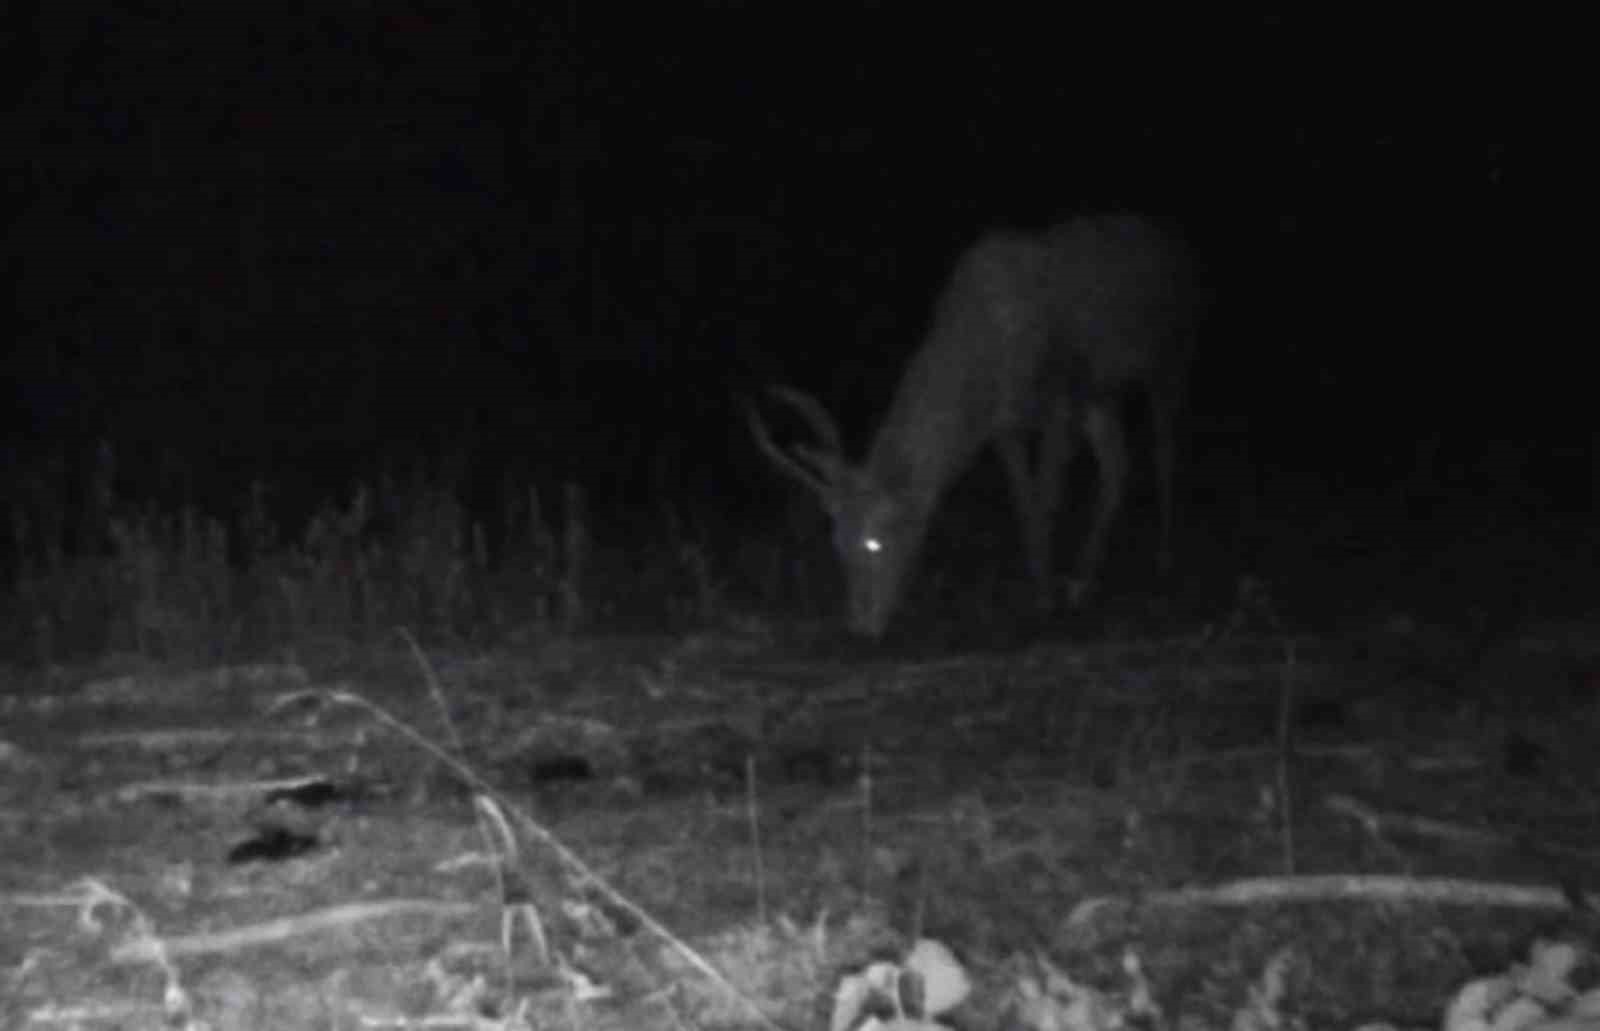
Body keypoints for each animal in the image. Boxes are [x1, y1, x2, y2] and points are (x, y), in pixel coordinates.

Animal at [748, 214, 1203, 637]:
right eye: (838, 543)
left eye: (876, 542)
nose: (859, 625)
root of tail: (1173, 247)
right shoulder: (1007, 425)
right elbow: (1024, 502)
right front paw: (1044, 590)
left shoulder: (1060, 401)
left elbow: (1046, 499)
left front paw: (1046, 600)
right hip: (1101, 395)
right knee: (1117, 465)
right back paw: (1083, 581)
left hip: (1168, 355)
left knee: (1164, 452)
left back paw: (1163, 559)